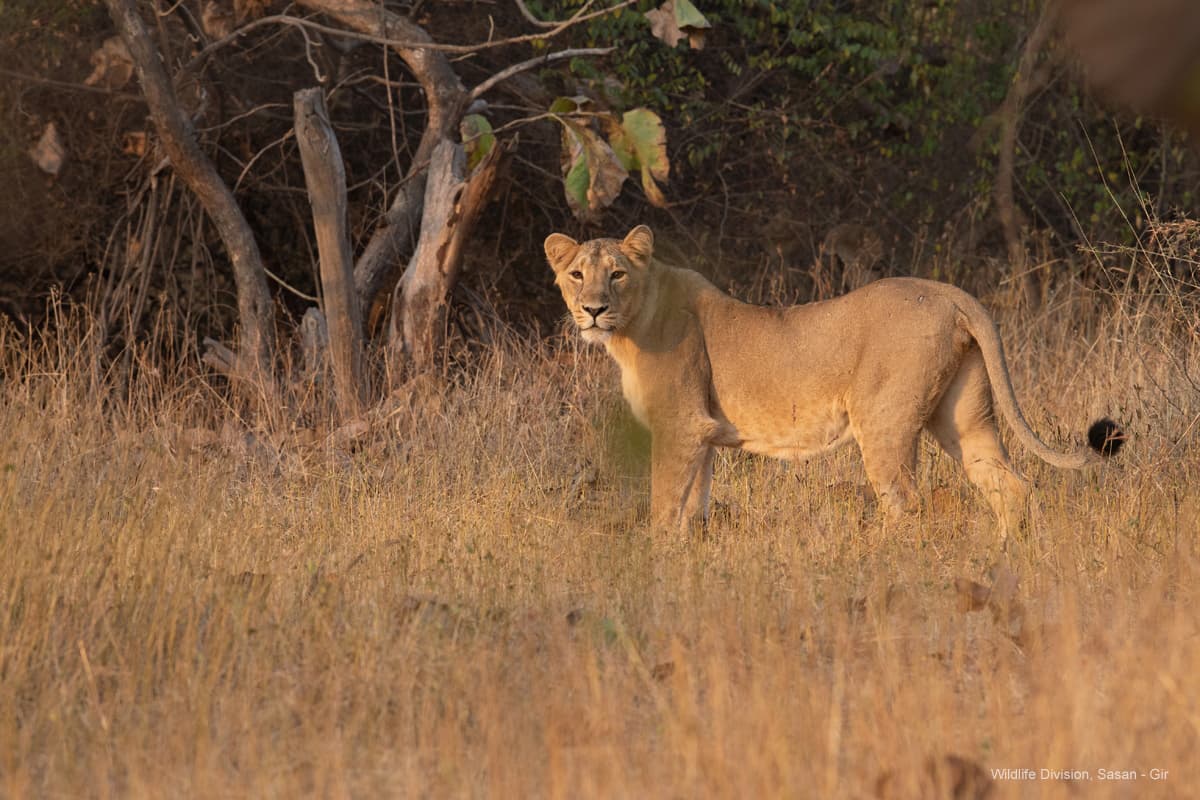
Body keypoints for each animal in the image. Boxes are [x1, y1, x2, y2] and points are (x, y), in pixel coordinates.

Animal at [544, 225, 1123, 539]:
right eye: (576, 274)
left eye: (617, 274)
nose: (592, 309)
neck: (632, 326)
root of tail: (949, 292)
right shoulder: (701, 435)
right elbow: (694, 508)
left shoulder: (682, 425)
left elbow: (665, 506)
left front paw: (658, 562)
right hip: (964, 417)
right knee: (1011, 486)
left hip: (884, 421)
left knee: (906, 504)